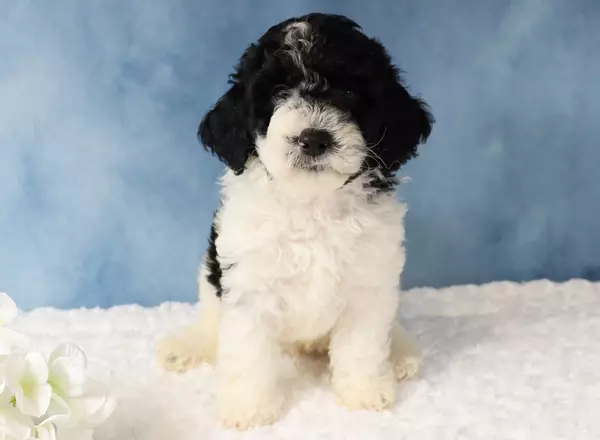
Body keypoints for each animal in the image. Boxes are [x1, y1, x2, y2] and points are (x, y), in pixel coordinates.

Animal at [157, 12, 434, 430]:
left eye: (349, 92)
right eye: (276, 94)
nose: (314, 138)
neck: (311, 202)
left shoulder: (369, 282)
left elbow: (363, 345)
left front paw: (365, 392)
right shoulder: (247, 284)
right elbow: (248, 352)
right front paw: (251, 409)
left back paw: (401, 352)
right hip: (209, 273)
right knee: (211, 320)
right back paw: (186, 346)